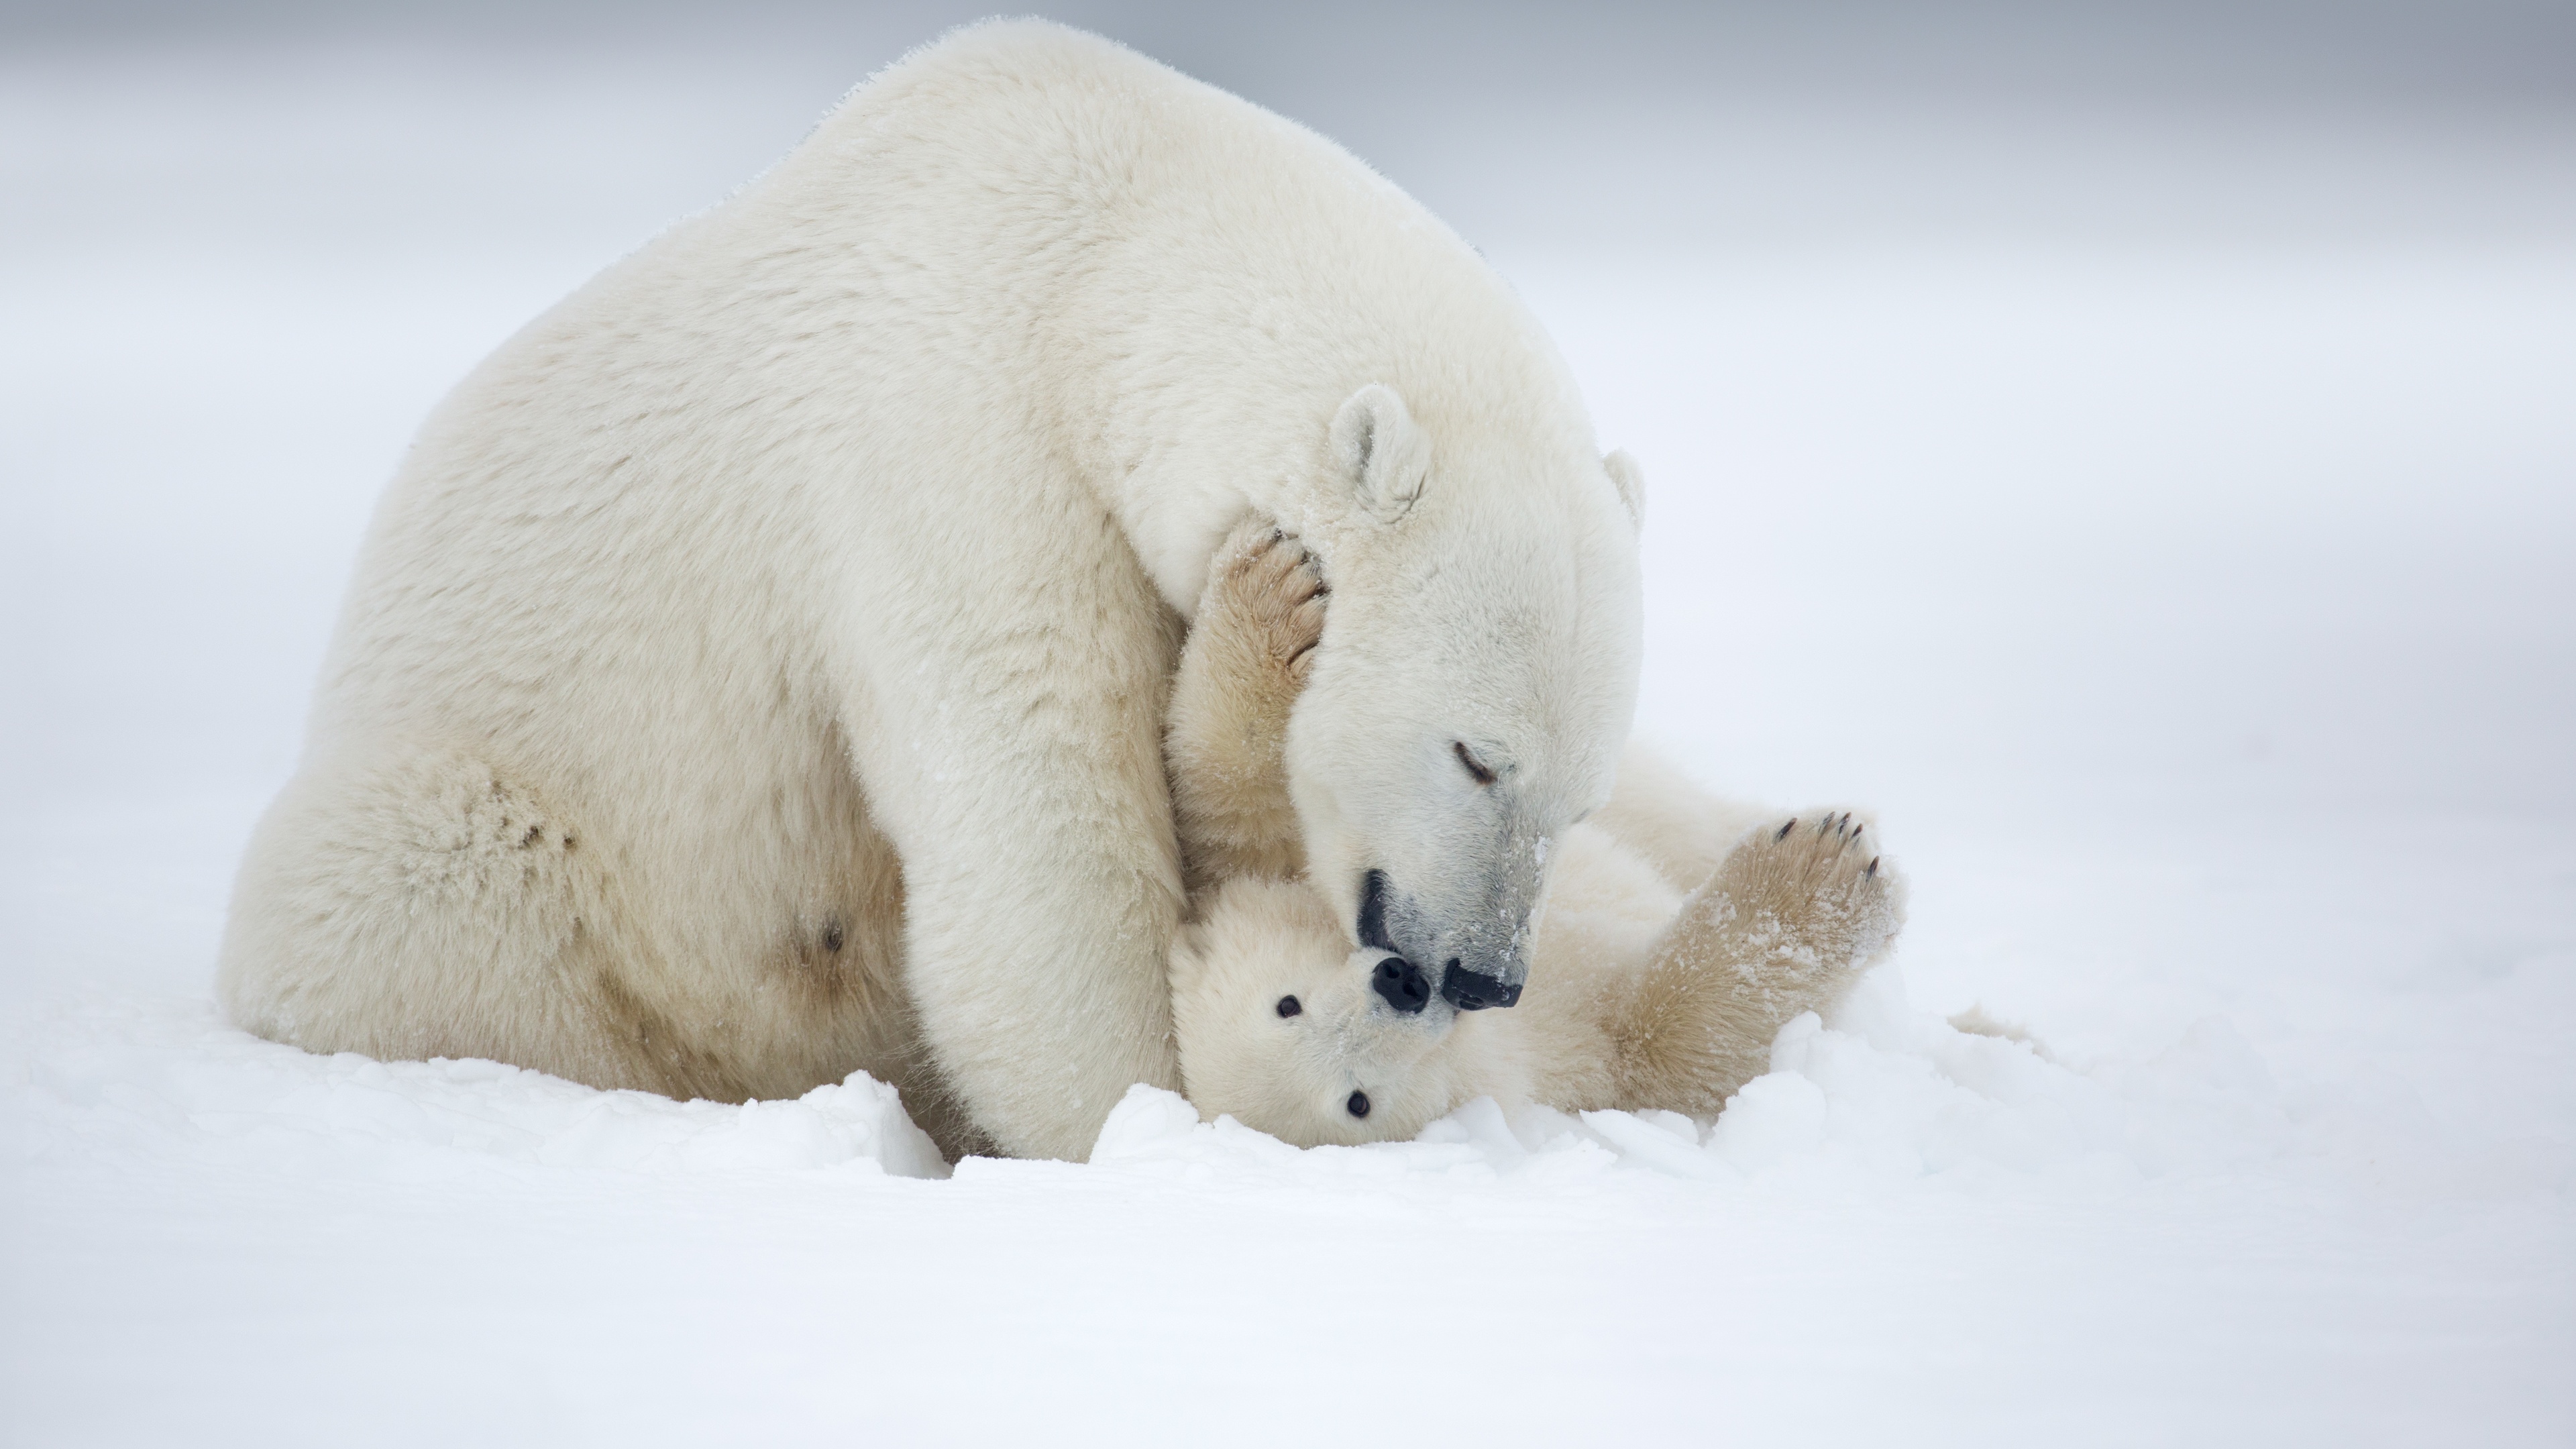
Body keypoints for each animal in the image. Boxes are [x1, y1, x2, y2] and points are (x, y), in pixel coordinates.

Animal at [211, 19, 1638, 1150]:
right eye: (1477, 755)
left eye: (1578, 798)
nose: (1484, 975)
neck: (1101, 251)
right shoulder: (951, 449)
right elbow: (1038, 832)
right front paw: (1146, 1121)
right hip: (506, 837)